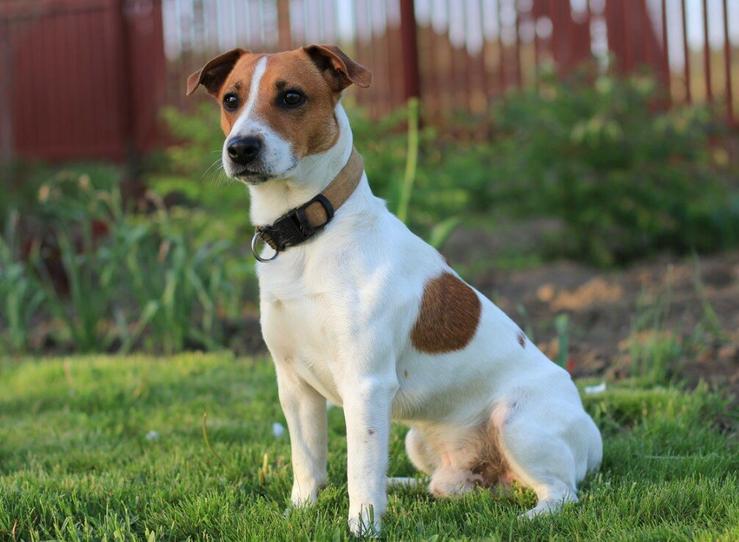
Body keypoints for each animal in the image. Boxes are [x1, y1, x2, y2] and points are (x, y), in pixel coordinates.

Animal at [188, 44, 604, 536]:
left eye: (291, 97)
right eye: (231, 100)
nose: (240, 148)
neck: (311, 238)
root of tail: (591, 433)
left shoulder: (365, 385)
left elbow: (360, 470)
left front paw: (363, 527)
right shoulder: (293, 384)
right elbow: (307, 462)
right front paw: (301, 512)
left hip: (517, 422)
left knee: (562, 492)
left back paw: (528, 516)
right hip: (417, 443)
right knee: (450, 485)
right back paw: (408, 485)